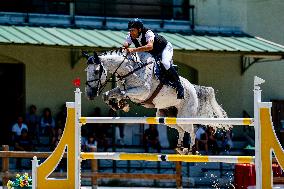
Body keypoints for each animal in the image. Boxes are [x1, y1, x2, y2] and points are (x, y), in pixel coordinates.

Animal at [83, 48, 230, 154]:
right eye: (86, 71)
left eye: (96, 71)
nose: (89, 94)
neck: (130, 70)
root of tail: (193, 88)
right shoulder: (123, 89)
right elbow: (108, 95)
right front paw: (118, 105)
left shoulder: (142, 92)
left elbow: (123, 93)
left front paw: (122, 105)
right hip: (165, 116)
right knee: (181, 129)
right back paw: (180, 148)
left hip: (184, 116)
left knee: (192, 130)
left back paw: (191, 150)